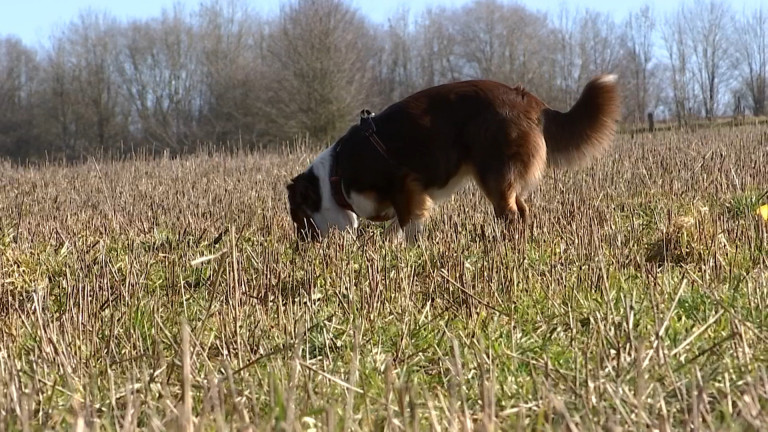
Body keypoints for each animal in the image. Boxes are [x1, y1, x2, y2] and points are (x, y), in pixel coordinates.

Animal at [286, 74, 616, 243]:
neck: (335, 176)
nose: (300, 249)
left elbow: (408, 224)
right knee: (522, 211)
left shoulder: (404, 184)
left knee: (510, 214)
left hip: (494, 174)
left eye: (298, 218)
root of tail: (531, 101)